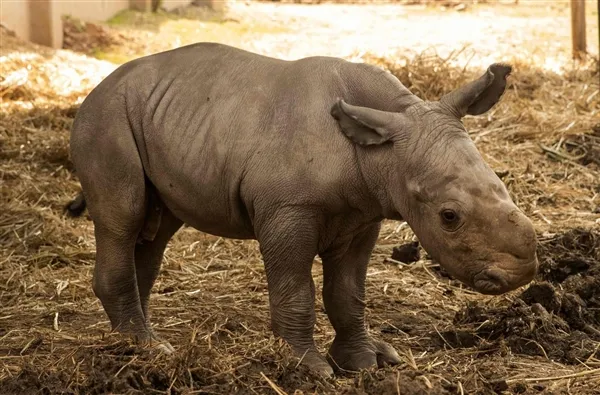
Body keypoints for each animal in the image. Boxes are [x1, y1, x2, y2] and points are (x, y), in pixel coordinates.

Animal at [67, 42, 540, 378]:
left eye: (502, 185)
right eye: (449, 217)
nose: (521, 273)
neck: (381, 148)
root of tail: (98, 86)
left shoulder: (363, 214)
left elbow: (347, 293)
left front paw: (364, 362)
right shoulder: (287, 209)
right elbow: (296, 290)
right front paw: (308, 369)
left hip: (160, 117)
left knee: (155, 232)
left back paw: (139, 340)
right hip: (104, 118)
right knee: (124, 217)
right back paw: (147, 347)